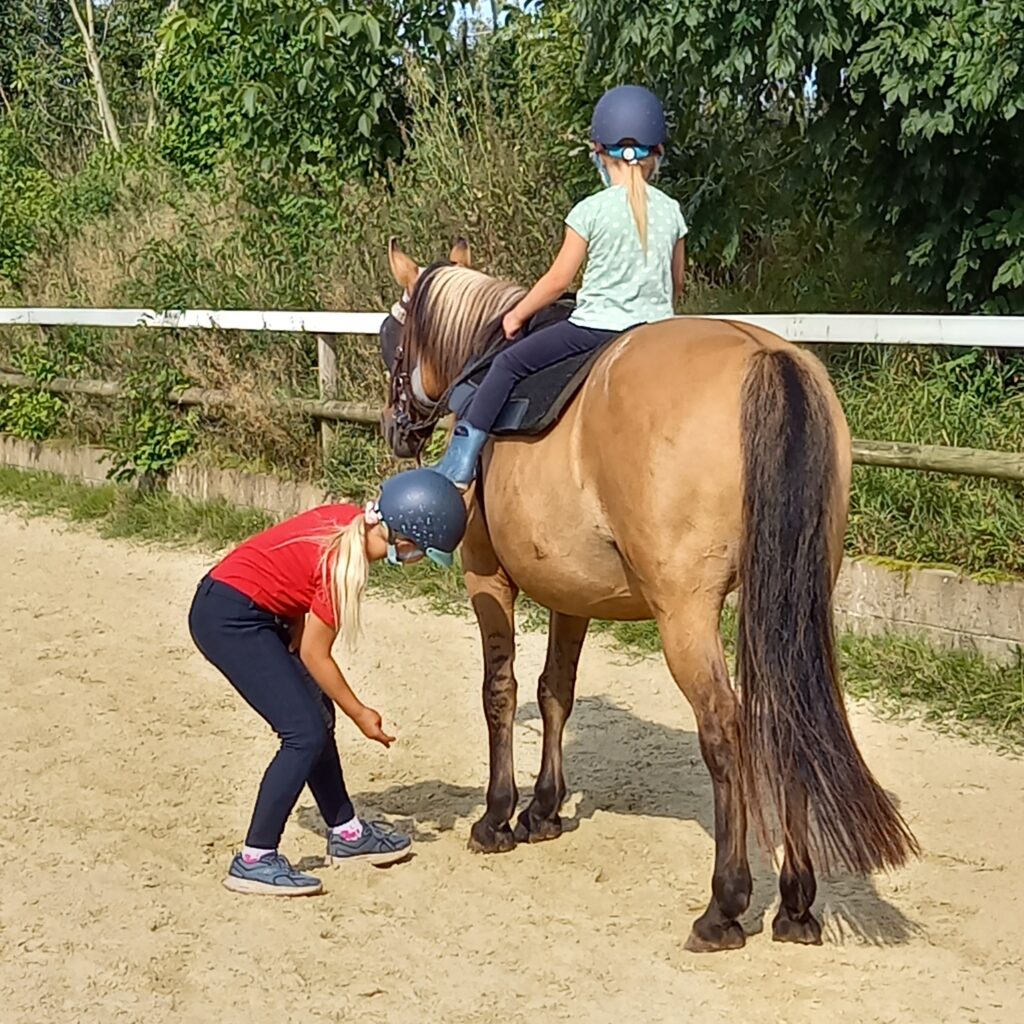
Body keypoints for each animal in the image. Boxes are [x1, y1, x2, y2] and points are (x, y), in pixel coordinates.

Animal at [378, 237, 918, 952]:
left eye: (393, 337)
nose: (395, 427)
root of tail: (765, 355)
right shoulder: (572, 593)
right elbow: (556, 690)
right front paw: (544, 809)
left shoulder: (487, 577)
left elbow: (502, 691)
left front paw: (498, 816)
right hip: (787, 605)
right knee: (785, 718)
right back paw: (796, 904)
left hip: (685, 614)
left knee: (724, 727)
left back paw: (725, 905)